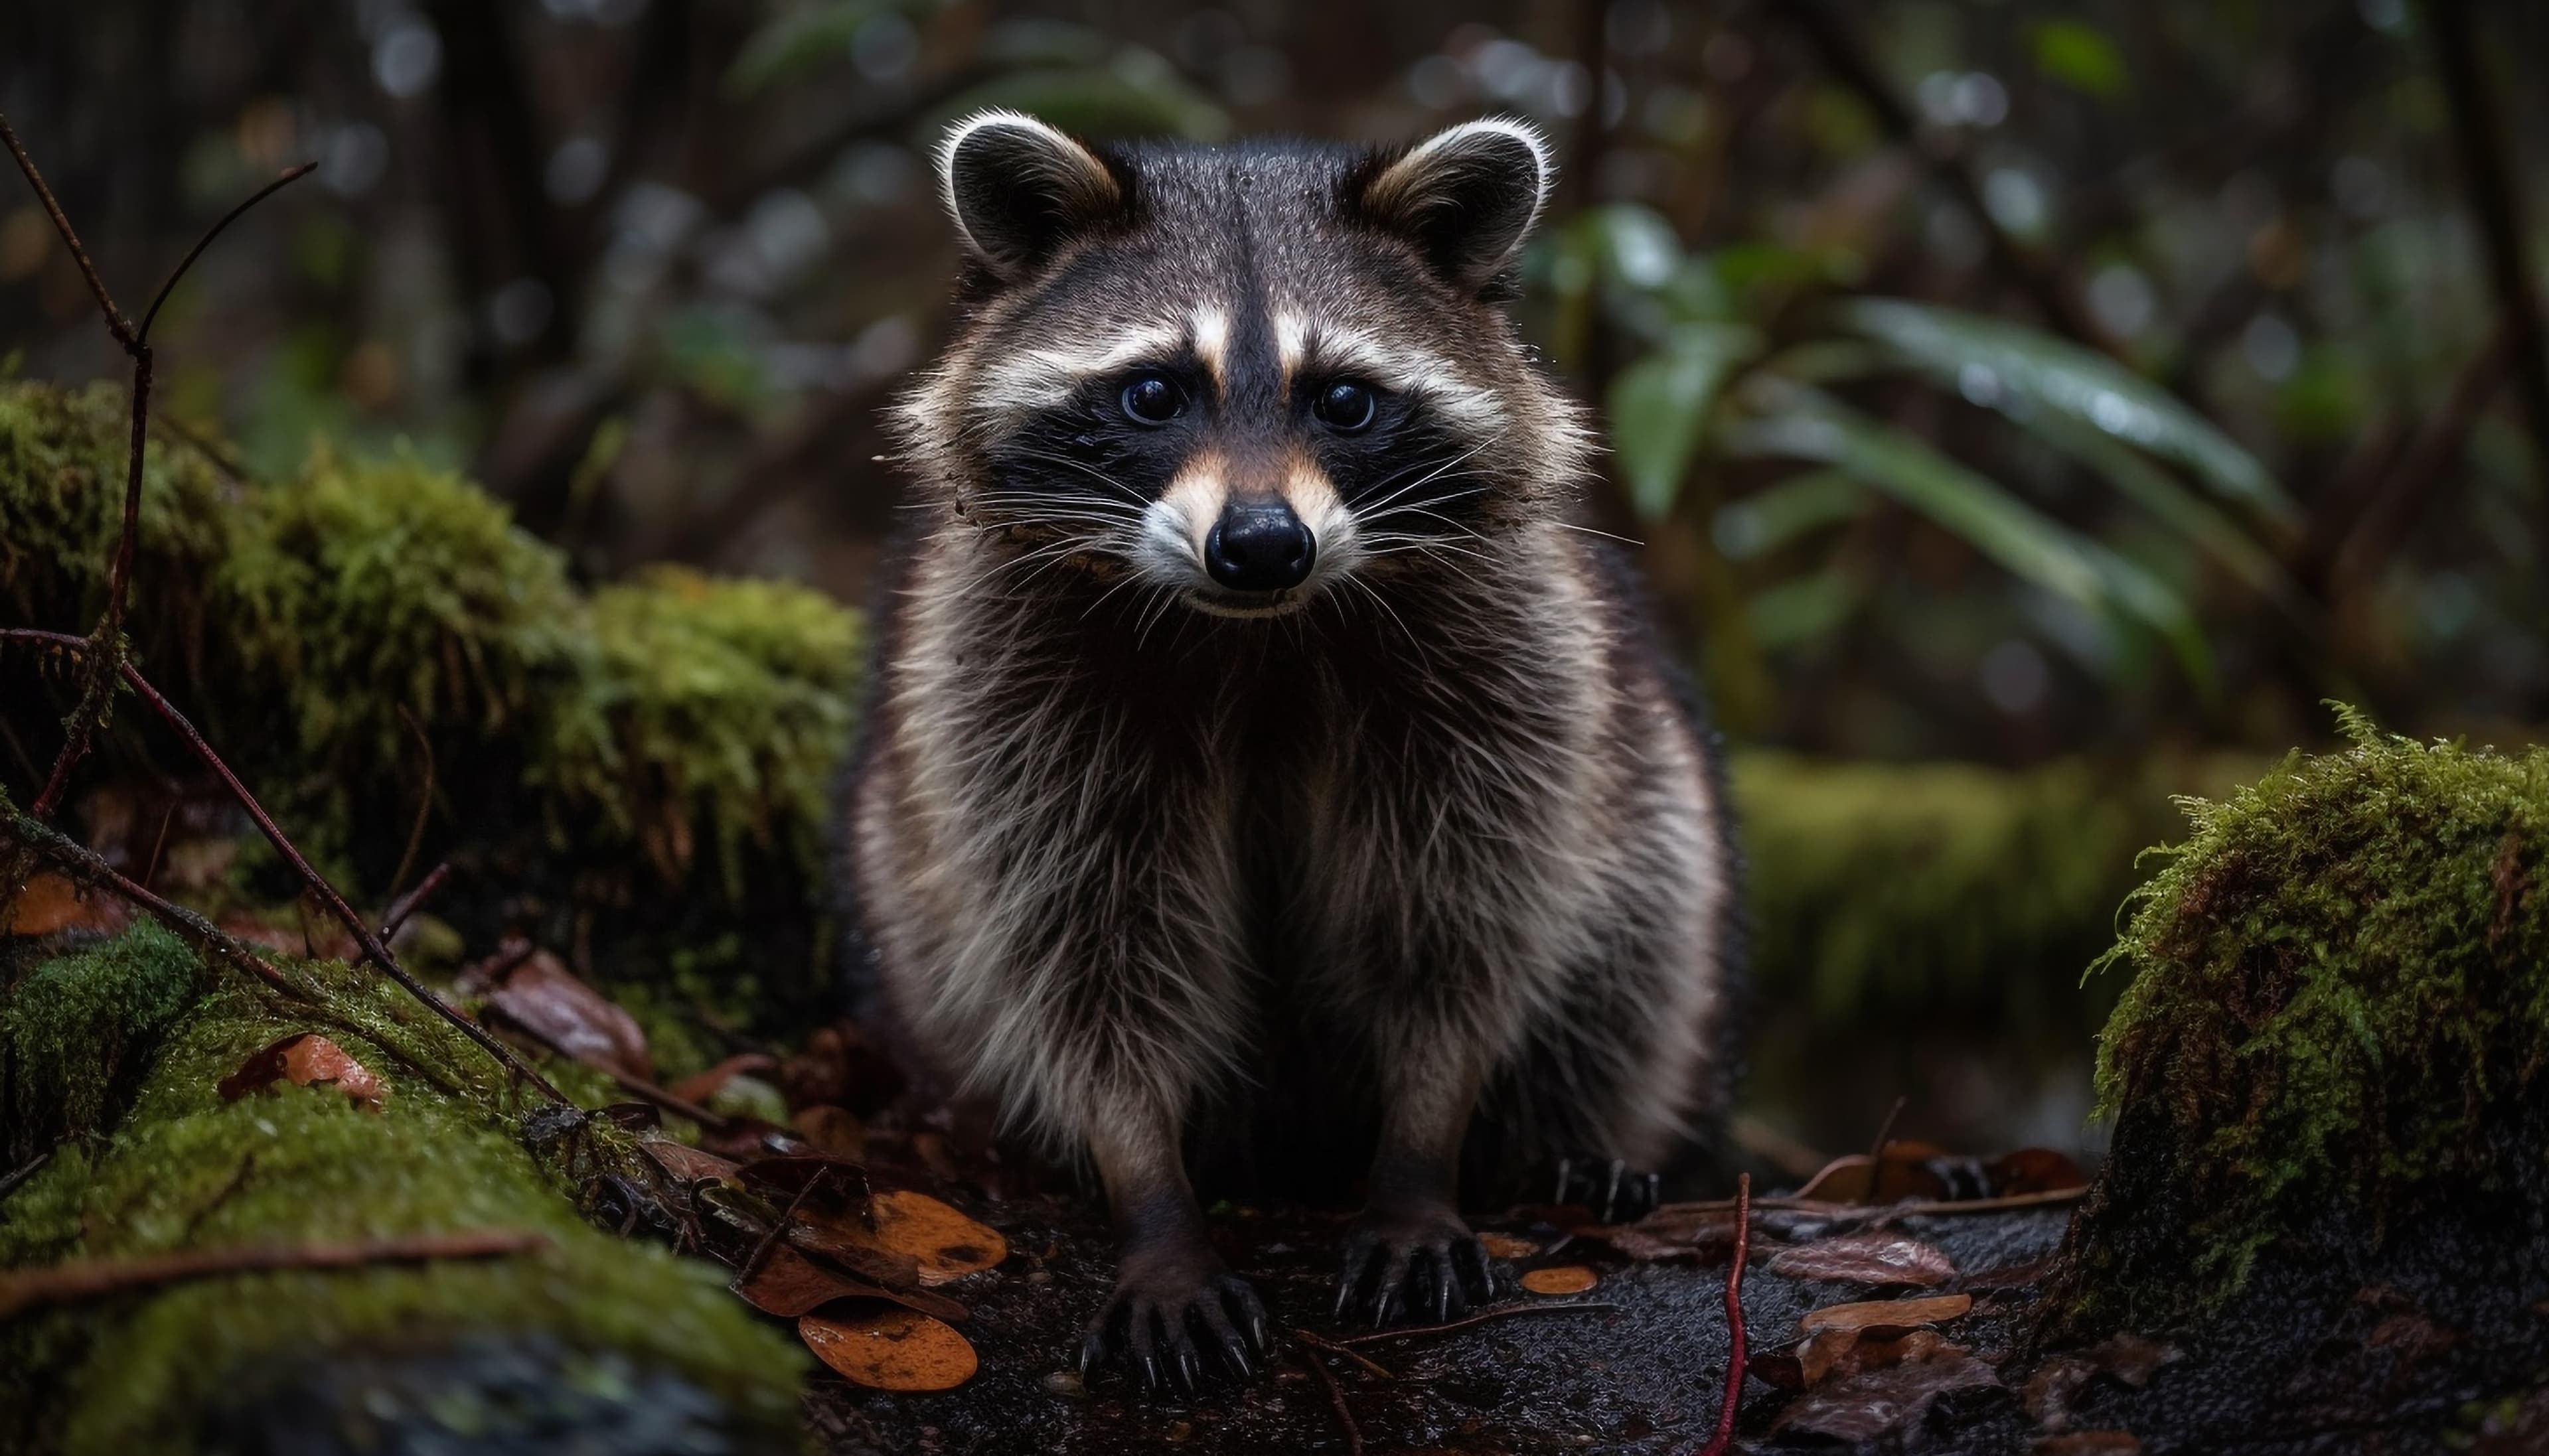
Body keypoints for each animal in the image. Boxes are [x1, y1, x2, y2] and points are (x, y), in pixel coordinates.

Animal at [838, 111, 1742, 1387]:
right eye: (1154, 393)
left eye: (1346, 401)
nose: (1263, 544)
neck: (1255, 629)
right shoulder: (1010, 686)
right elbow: (1087, 946)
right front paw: (1147, 1184)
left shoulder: (1505, 668)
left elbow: (1457, 923)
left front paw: (1422, 1151)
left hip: (1646, 765)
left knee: (1646, 923)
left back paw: (1569, 1146)